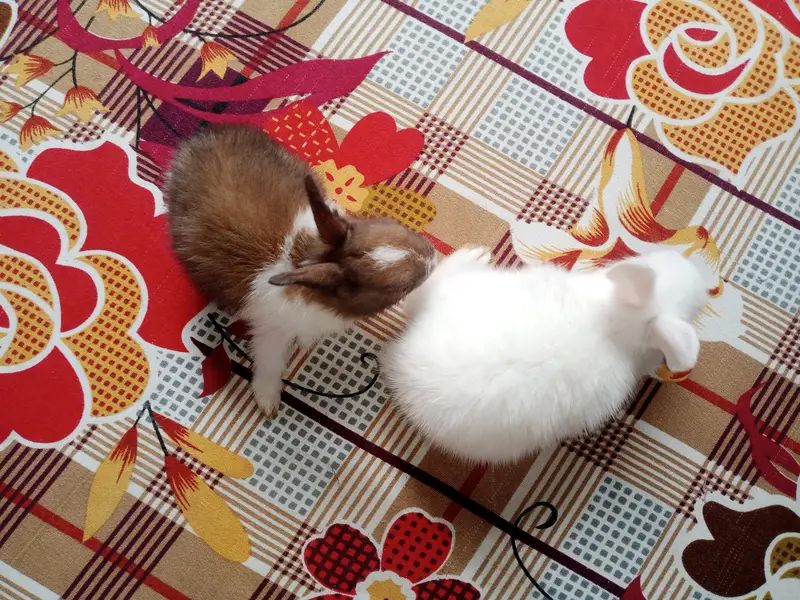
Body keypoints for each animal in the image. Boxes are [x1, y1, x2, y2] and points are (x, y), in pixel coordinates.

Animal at [164, 124, 435, 417]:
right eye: (397, 286)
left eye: (393, 227)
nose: (432, 256)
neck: (307, 259)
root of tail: (202, 137)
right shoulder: (271, 332)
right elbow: (270, 365)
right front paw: (268, 403)